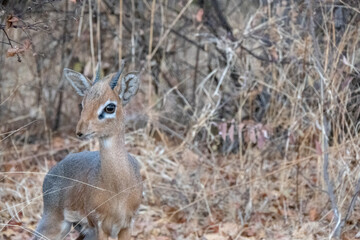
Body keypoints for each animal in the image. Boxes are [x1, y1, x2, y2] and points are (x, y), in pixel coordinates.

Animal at [34, 64, 143, 240]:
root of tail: (50, 172)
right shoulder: (100, 227)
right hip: (56, 224)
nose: (80, 132)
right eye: (83, 103)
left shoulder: (126, 226)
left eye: (110, 107)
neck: (118, 189)